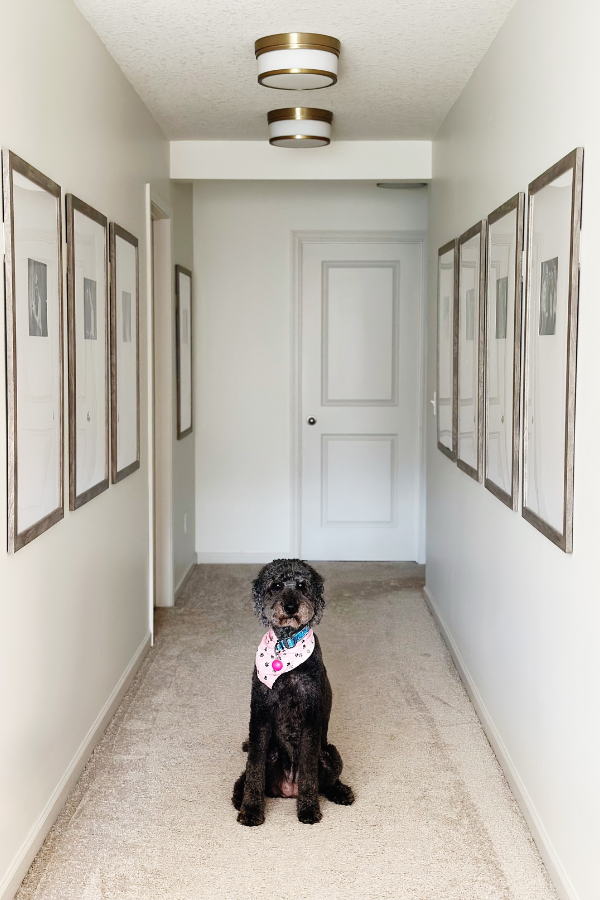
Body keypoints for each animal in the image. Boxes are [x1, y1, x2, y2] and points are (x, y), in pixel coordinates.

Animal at [233, 560, 356, 828]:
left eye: (302, 586)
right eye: (277, 585)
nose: (290, 607)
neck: (286, 648)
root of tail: (288, 790)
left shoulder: (310, 718)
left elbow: (309, 772)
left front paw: (308, 809)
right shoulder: (260, 714)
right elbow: (254, 768)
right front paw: (251, 810)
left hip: (330, 752)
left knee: (327, 783)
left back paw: (341, 792)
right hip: (272, 751)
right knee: (245, 774)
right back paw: (238, 796)